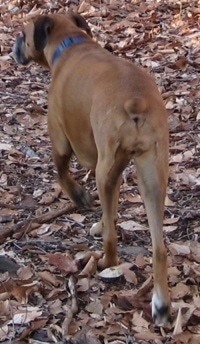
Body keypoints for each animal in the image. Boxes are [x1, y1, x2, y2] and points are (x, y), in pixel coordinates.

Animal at [12, 12, 170, 324]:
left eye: (23, 35)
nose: (14, 44)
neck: (70, 43)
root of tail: (136, 100)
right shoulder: (114, 168)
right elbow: (112, 208)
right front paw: (101, 221)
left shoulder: (62, 141)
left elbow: (61, 173)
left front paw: (79, 197)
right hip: (151, 175)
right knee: (159, 248)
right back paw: (160, 304)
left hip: (103, 170)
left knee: (112, 245)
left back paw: (103, 262)